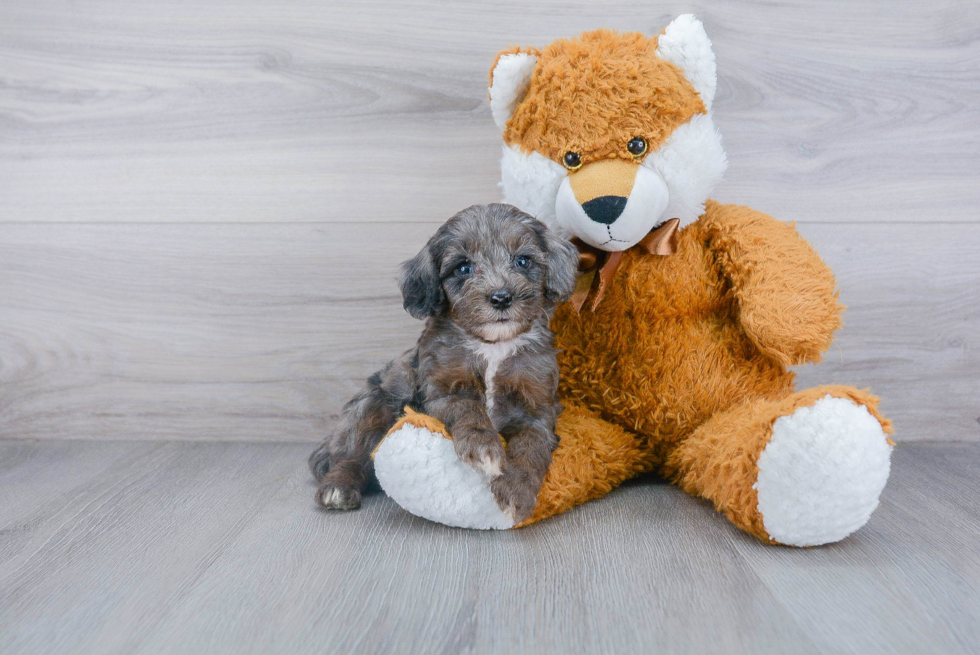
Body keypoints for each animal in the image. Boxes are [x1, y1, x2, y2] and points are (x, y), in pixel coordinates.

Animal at [310, 204, 580, 524]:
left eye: (523, 261)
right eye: (463, 268)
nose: (501, 298)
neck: (493, 346)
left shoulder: (536, 408)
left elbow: (531, 446)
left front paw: (516, 491)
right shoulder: (441, 391)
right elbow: (468, 408)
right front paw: (483, 447)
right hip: (370, 405)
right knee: (352, 455)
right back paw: (338, 487)